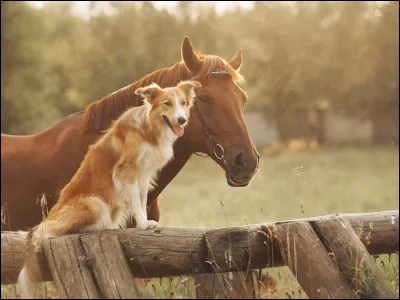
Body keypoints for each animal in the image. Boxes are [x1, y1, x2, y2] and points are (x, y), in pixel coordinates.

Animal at [17, 79, 202, 298]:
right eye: (167, 103)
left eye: (183, 103)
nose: (182, 120)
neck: (149, 127)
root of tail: (50, 216)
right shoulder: (127, 171)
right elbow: (136, 202)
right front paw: (142, 224)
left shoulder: (144, 174)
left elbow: (142, 200)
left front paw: (145, 221)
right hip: (95, 203)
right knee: (59, 229)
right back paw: (99, 226)